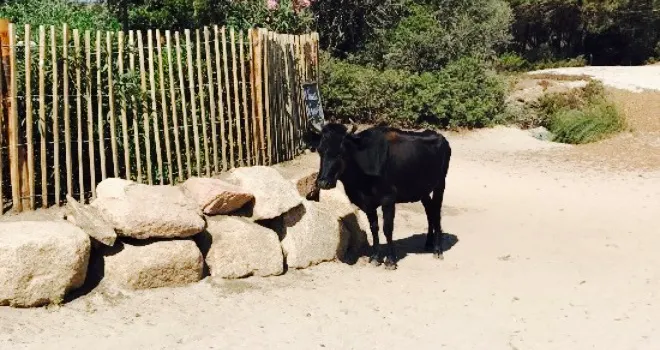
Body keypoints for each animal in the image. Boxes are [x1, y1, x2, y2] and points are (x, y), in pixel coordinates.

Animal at [310, 121, 454, 270]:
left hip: (440, 184)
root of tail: (439, 136)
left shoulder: (388, 199)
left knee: (437, 212)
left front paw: (390, 260)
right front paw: (375, 257)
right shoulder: (367, 203)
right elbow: (374, 228)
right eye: (320, 150)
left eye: (341, 152)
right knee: (429, 211)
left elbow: (387, 229)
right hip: (422, 190)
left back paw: (438, 250)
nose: (323, 182)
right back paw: (429, 243)